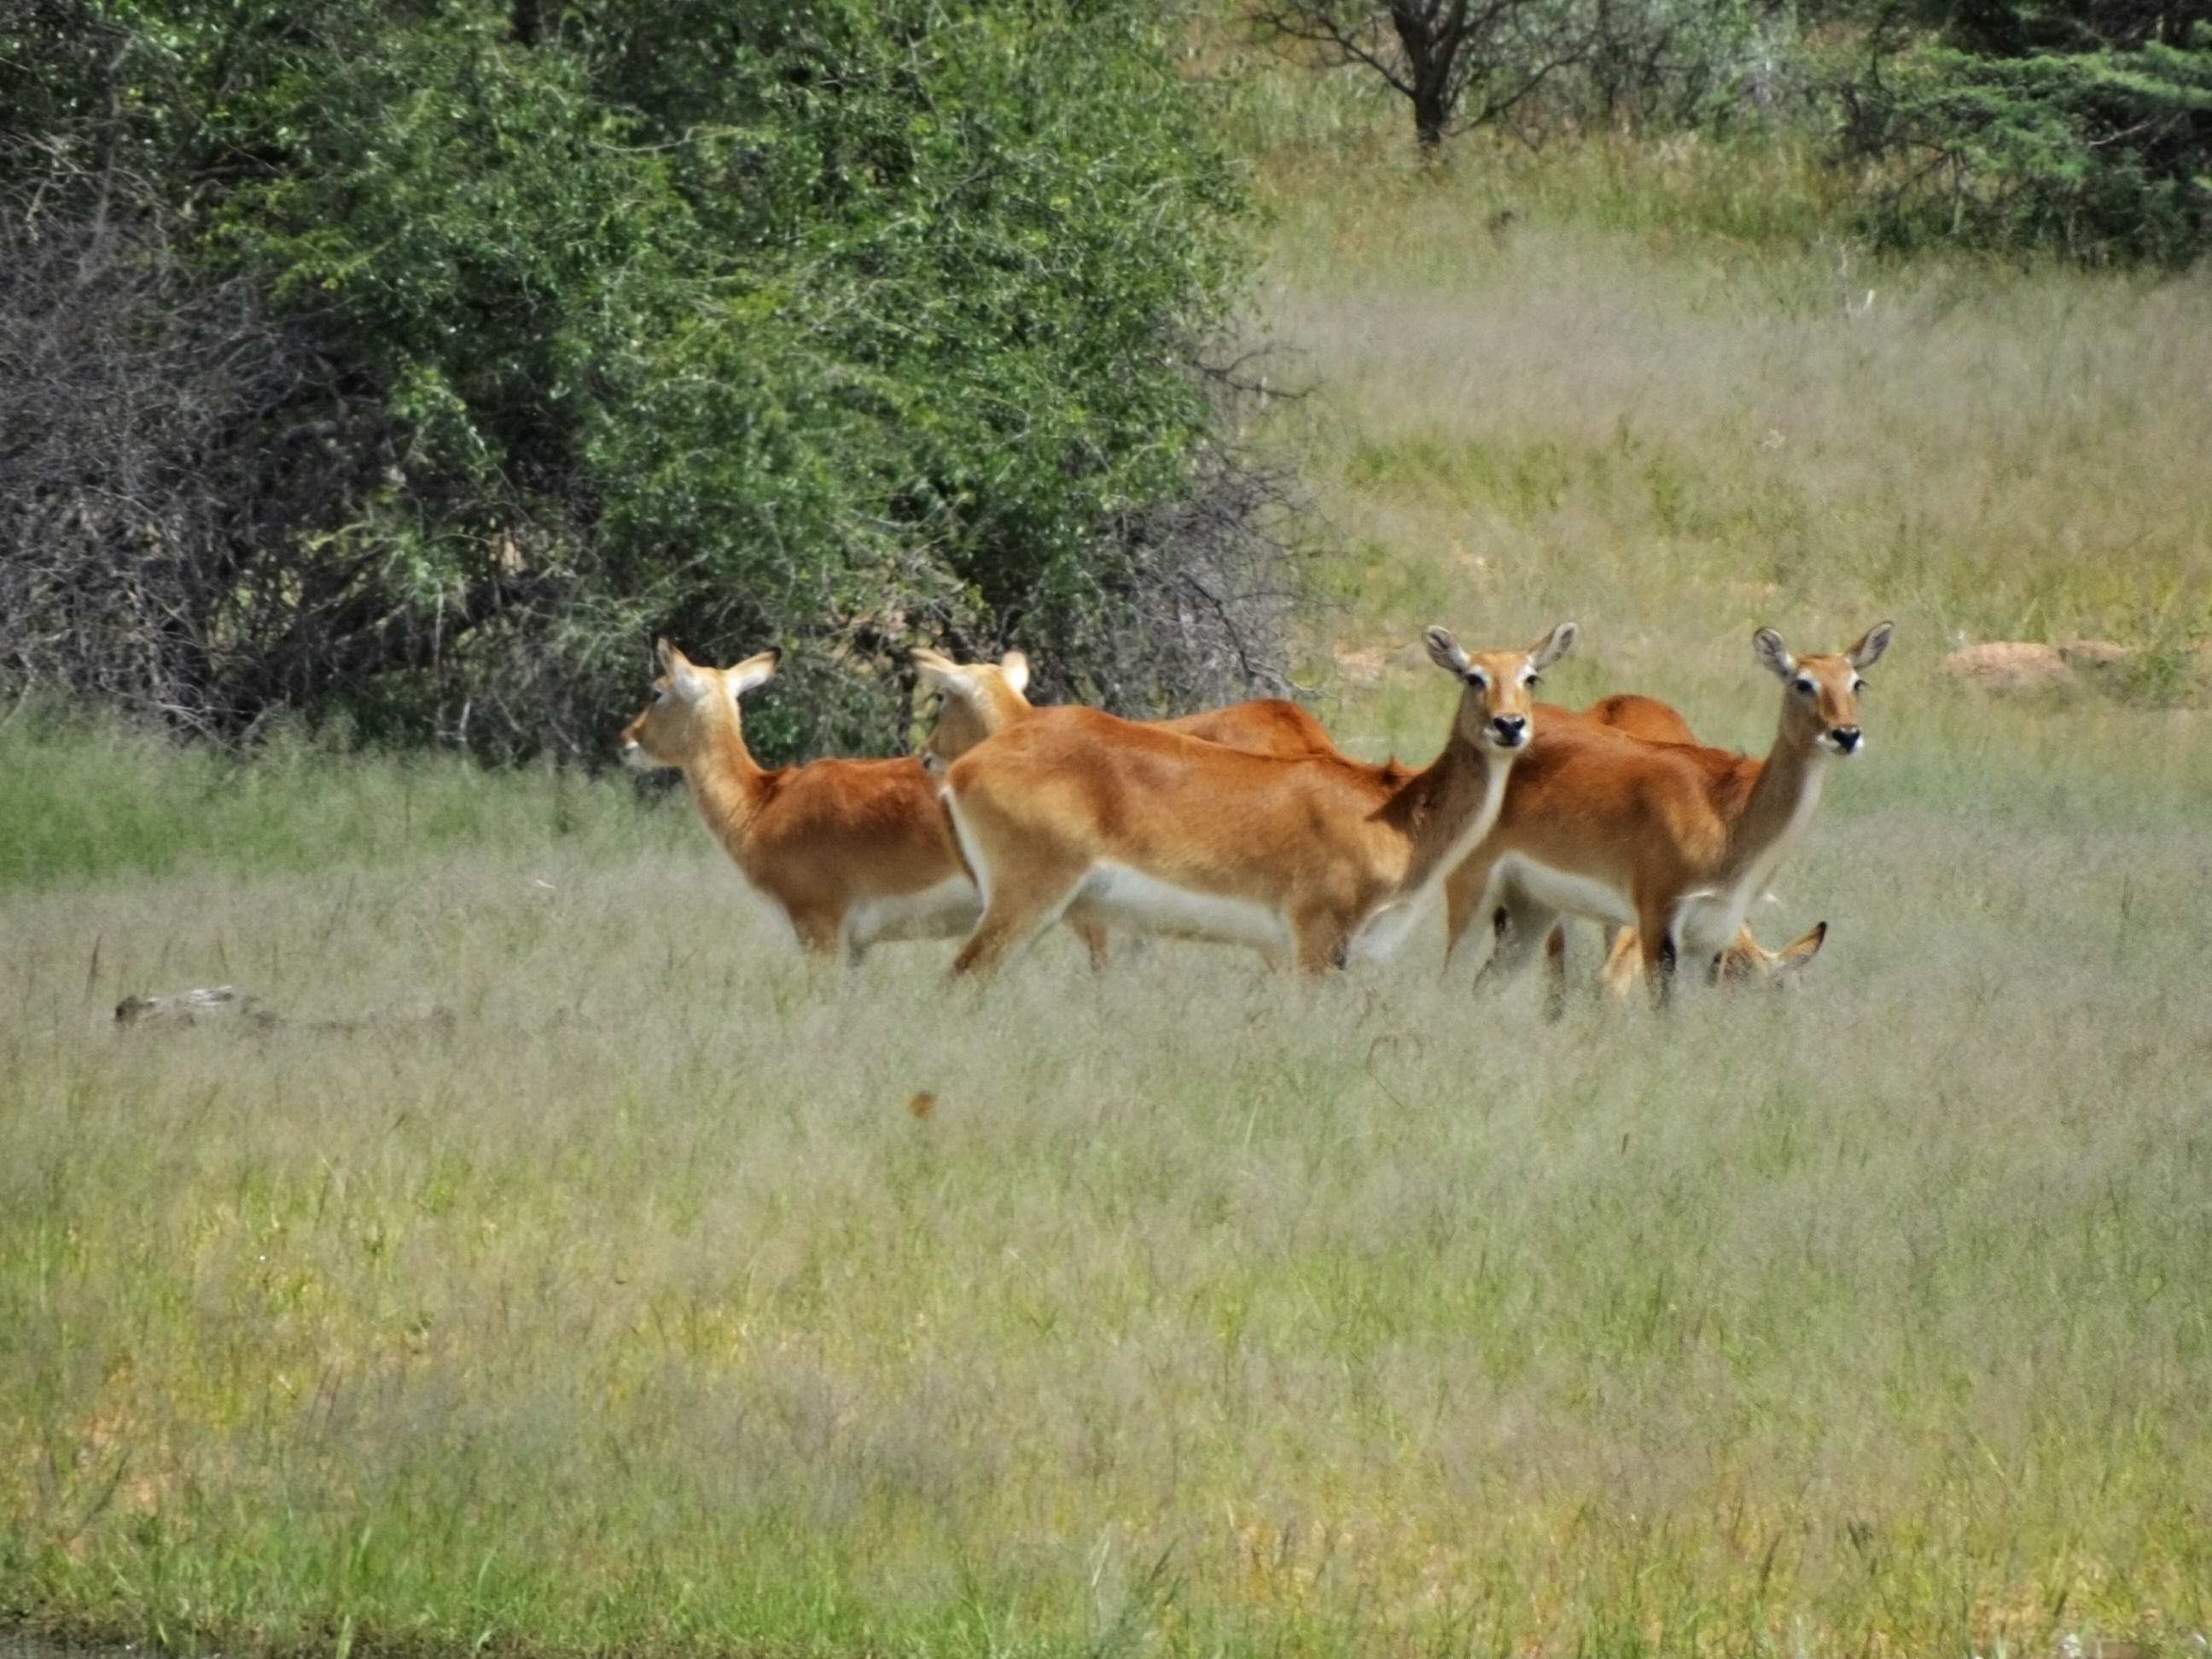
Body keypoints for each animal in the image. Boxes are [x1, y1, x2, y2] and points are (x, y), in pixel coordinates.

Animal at [933, 628, 1575, 981]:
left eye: (1531, 676)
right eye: (1472, 676)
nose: (1510, 726)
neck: (1394, 810)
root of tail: (966, 767)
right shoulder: (1315, 943)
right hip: (1026, 905)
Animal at [1441, 623, 1893, 1008]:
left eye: (1857, 681)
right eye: (1803, 682)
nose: (1846, 734)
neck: (1730, 810)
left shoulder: (1707, 931)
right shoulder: (1659, 920)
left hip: (1536, 907)